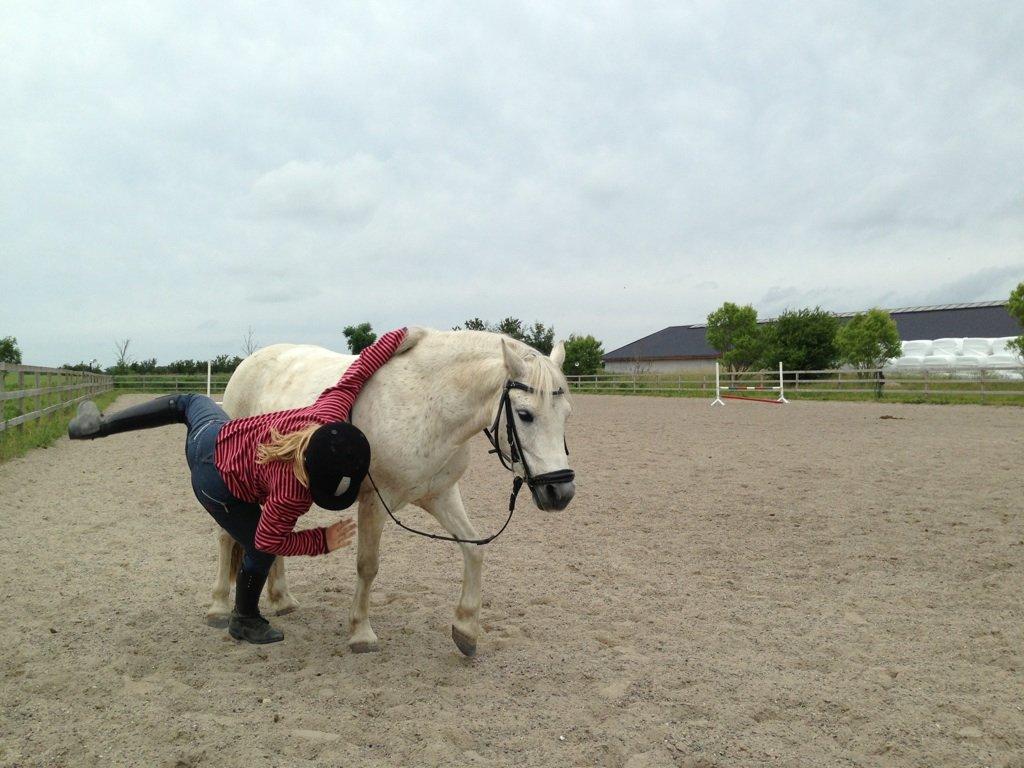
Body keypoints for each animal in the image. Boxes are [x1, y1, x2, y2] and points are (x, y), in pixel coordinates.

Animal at [207, 327, 577, 659]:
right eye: (525, 415)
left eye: (567, 415)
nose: (560, 491)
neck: (429, 404)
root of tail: (249, 363)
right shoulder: (374, 501)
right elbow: (367, 565)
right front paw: (361, 632)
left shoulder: (441, 495)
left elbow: (474, 550)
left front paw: (466, 629)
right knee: (226, 537)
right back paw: (219, 606)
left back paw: (282, 598)